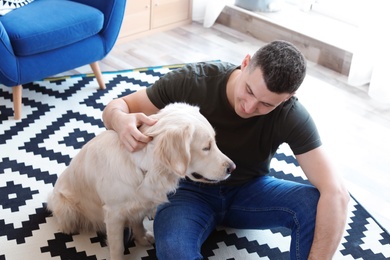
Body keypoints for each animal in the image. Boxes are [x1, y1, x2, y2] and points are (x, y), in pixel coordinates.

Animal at [45, 102, 235, 258]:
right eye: (206, 147)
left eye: (214, 142)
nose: (232, 168)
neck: (147, 168)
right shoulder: (113, 214)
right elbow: (118, 247)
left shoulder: (139, 203)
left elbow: (137, 222)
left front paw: (142, 238)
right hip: (65, 206)